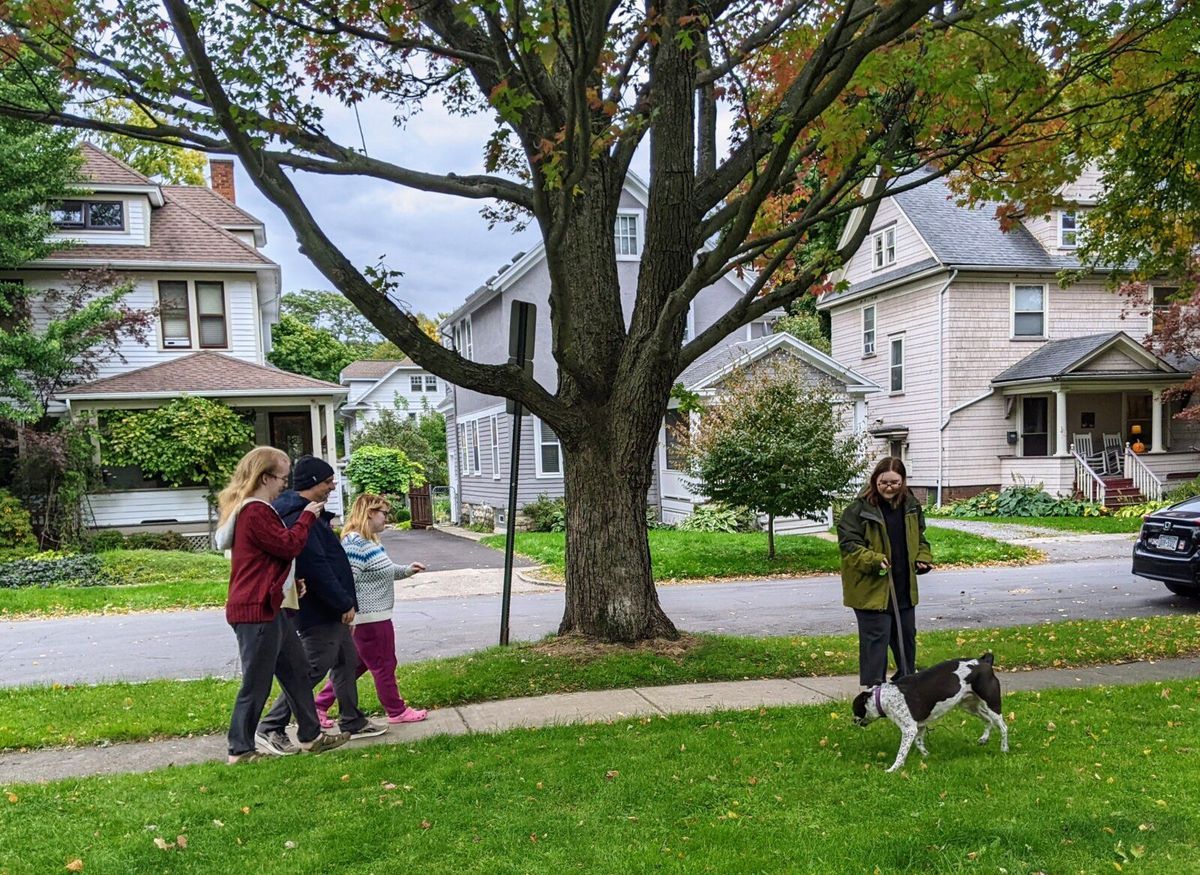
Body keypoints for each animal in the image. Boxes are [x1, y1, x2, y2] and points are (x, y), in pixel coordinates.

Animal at [849, 648, 1008, 772]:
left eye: (855, 709)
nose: (853, 721)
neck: (883, 697)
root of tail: (984, 662)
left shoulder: (909, 729)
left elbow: (901, 752)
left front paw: (893, 769)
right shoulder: (920, 726)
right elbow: (919, 742)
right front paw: (927, 755)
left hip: (991, 703)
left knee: (1003, 727)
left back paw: (1004, 749)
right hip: (970, 706)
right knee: (988, 720)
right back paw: (984, 739)